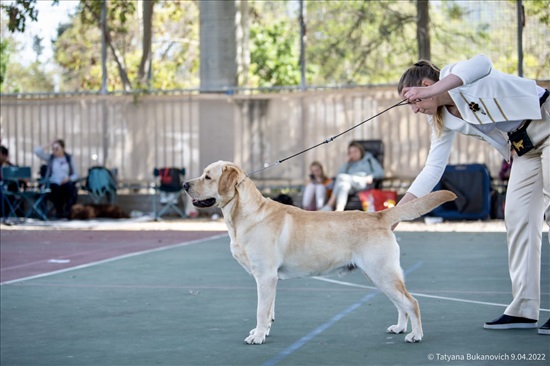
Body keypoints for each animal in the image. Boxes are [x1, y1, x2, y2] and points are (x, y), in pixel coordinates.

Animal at [184, 162, 458, 344]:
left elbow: (262, 311)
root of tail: (379, 214)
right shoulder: (269, 279)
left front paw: (258, 336)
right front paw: (262, 332)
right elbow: (270, 310)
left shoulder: (265, 276)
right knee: (401, 304)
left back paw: (416, 334)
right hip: (380, 275)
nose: (185, 184)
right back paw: (400, 328)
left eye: (207, 177)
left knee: (412, 302)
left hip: (383, 273)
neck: (246, 214)